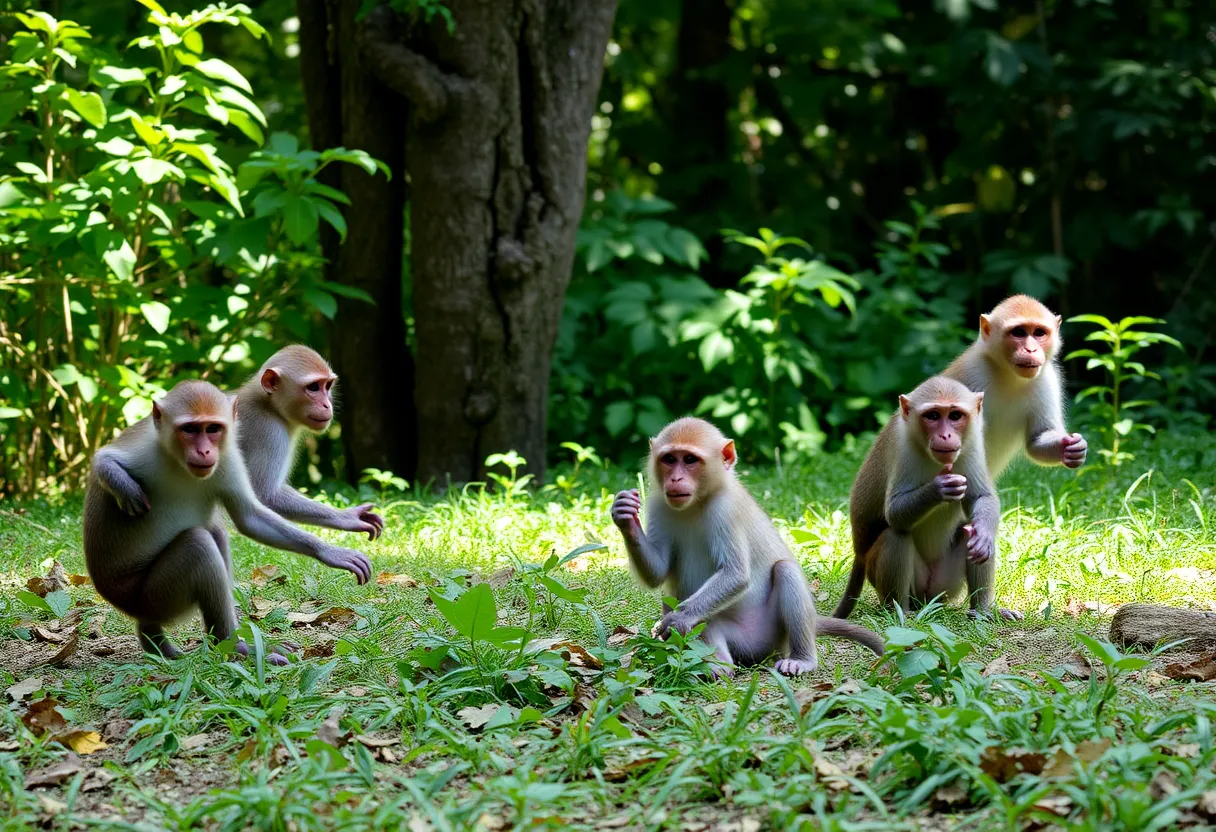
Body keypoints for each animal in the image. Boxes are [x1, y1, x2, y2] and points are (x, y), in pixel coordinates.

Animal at [85, 379, 372, 661]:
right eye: (189, 429)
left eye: (213, 428)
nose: (204, 451)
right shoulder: (146, 445)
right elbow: (102, 458)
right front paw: (120, 482)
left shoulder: (228, 457)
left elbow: (251, 517)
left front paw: (334, 543)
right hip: (149, 597)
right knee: (198, 545)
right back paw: (235, 648)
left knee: (214, 534)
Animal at [235, 345, 384, 540]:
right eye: (313, 387)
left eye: (327, 385)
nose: (327, 405)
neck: (269, 405)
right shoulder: (270, 432)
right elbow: (265, 495)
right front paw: (345, 518)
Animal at [608, 416, 885, 676]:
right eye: (668, 459)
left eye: (689, 459)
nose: (675, 478)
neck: (698, 501)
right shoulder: (658, 503)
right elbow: (659, 573)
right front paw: (624, 516)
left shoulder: (725, 510)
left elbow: (736, 574)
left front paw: (678, 618)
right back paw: (718, 666)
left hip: (769, 636)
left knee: (784, 570)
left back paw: (801, 660)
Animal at [836, 374, 1016, 617]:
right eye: (933, 415)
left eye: (955, 416)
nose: (945, 435)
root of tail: (859, 553)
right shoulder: (901, 449)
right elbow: (894, 512)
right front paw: (938, 488)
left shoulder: (972, 443)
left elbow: (981, 498)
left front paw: (983, 535)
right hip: (901, 580)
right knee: (895, 535)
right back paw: (900, 610)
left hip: (945, 586)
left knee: (969, 531)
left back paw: (982, 610)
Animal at [943, 295, 1089, 484]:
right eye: (1018, 332)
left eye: (1039, 332)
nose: (1031, 349)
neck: (1009, 376)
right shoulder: (972, 372)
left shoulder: (1047, 381)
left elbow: (1036, 440)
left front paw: (1071, 448)